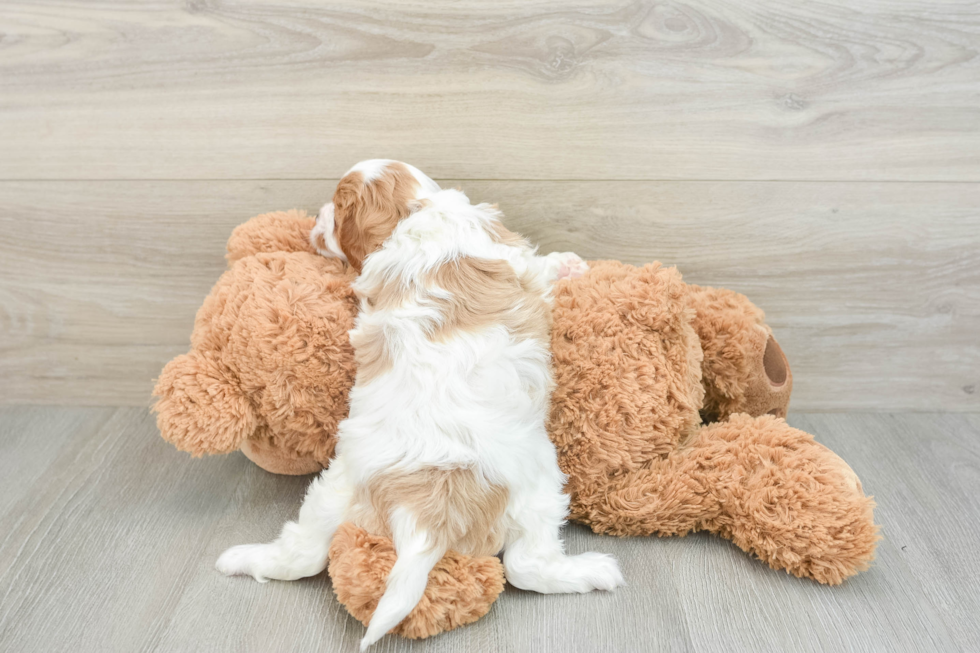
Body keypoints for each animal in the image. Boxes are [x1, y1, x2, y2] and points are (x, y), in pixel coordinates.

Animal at [218, 158, 624, 648]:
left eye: (335, 209)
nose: (315, 220)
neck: (416, 210)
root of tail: (424, 518)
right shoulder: (514, 258)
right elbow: (540, 267)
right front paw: (567, 264)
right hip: (538, 485)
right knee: (526, 567)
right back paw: (595, 571)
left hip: (335, 488)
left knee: (304, 554)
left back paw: (240, 559)